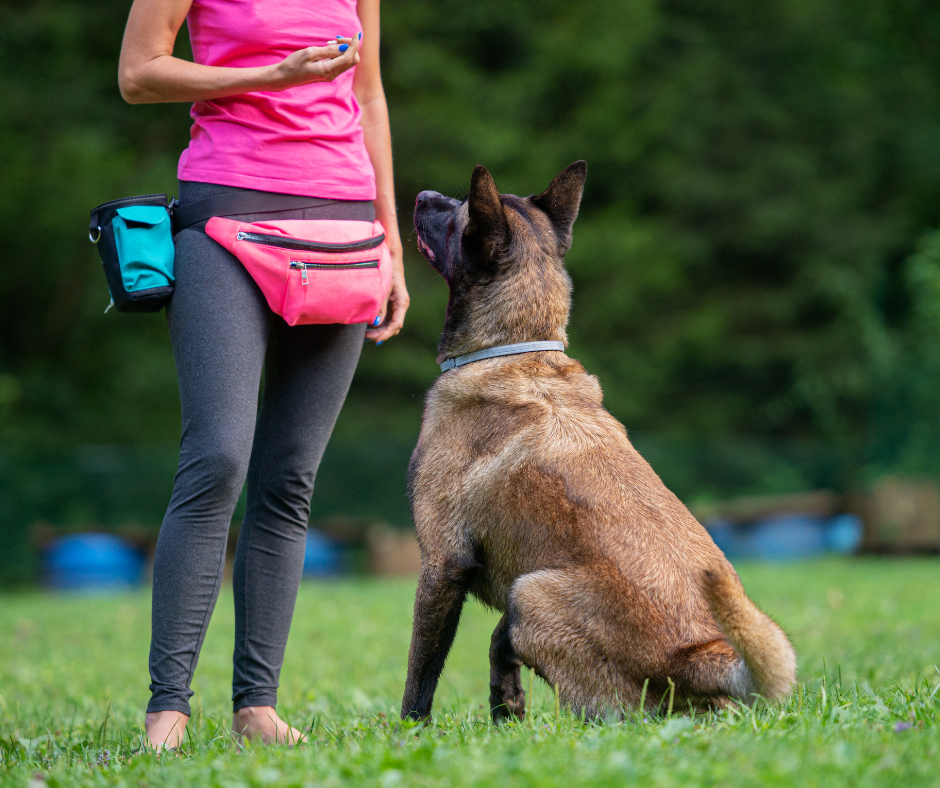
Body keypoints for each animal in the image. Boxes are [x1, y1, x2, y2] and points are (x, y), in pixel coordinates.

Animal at [400, 160, 796, 720]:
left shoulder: (442, 564)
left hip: (531, 592)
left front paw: (408, 731)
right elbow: (498, 647)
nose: (422, 193)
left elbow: (421, 673)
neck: (515, 349)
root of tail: (700, 655)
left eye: (458, 215)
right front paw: (506, 709)